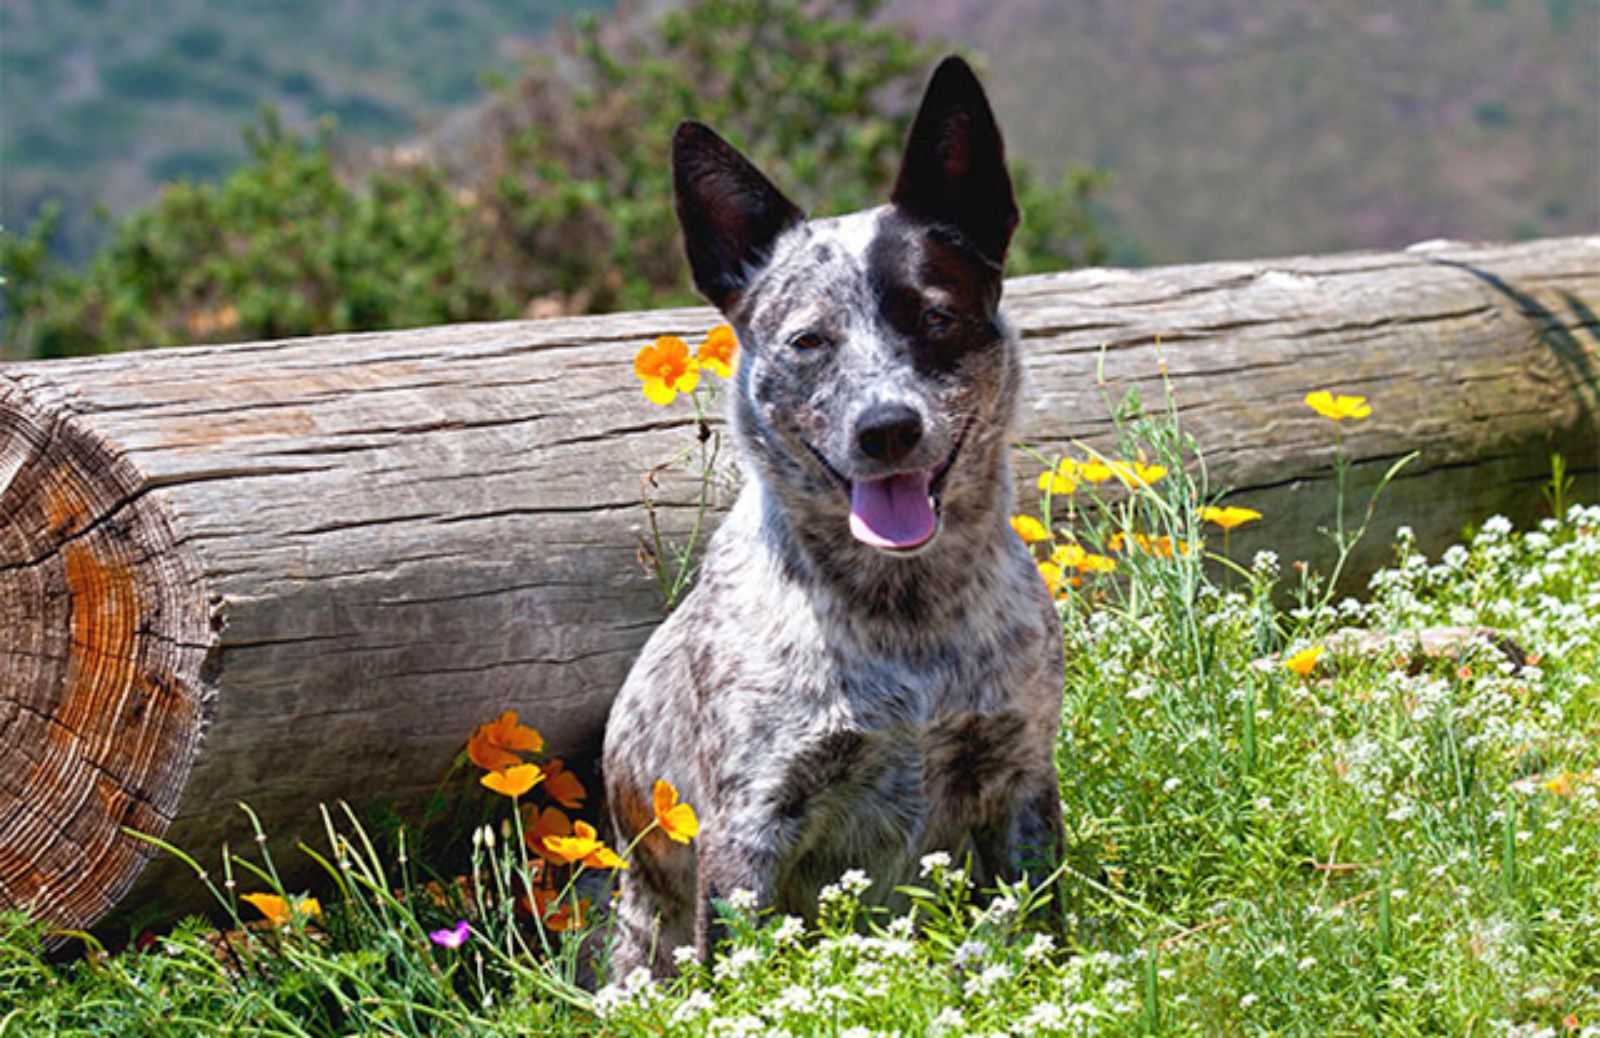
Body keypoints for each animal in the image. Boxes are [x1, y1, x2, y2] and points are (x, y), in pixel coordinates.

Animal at [601, 56, 1062, 978]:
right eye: (809, 341)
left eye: (936, 316)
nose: (886, 429)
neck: (908, 618)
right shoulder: (749, 827)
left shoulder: (1022, 777)